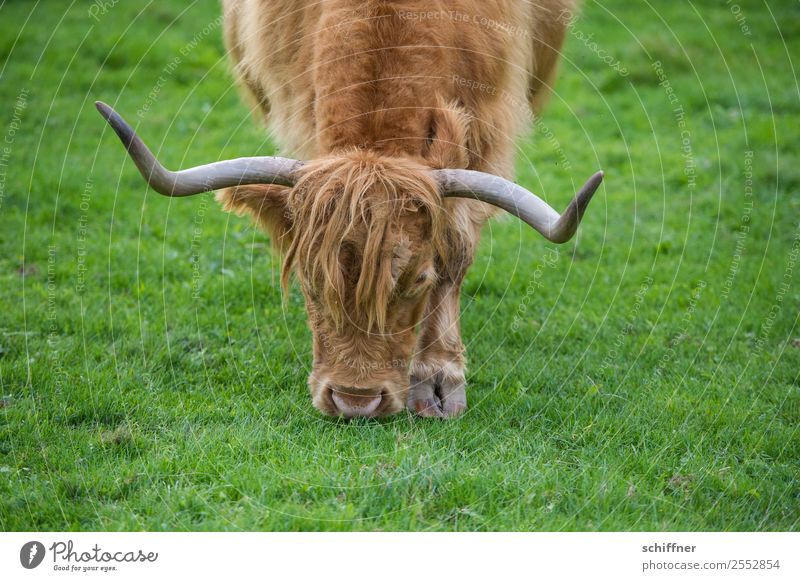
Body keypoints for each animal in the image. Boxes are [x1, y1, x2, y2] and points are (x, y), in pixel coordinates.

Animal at [97, 0, 600, 416]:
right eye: (308, 279)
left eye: (419, 279)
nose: (356, 402)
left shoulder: (488, 132)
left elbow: (456, 253)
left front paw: (439, 378)